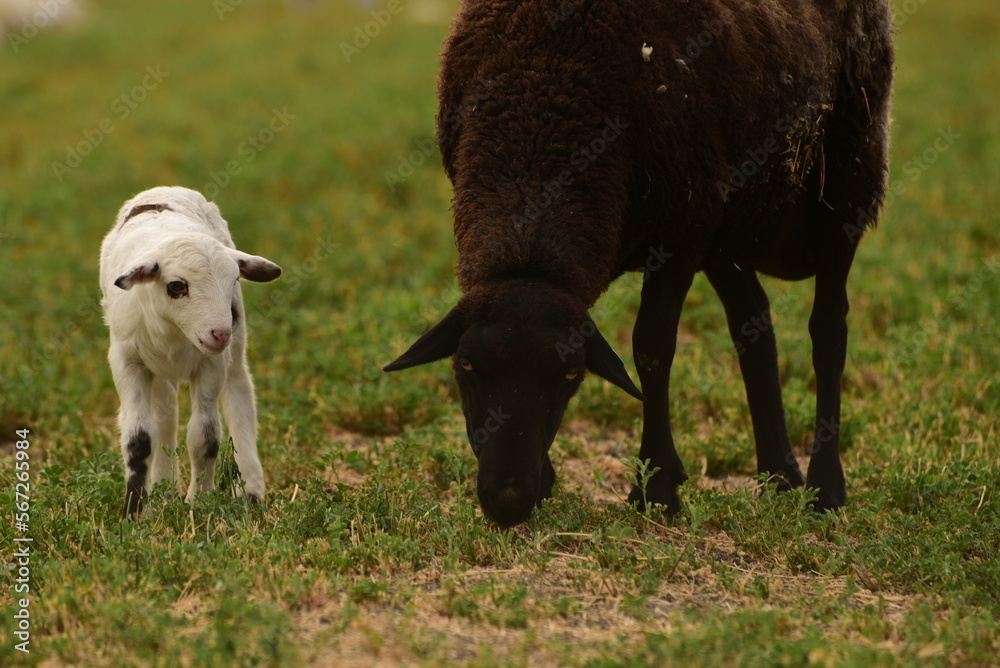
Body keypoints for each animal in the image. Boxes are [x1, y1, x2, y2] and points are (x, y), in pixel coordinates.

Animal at [100, 186, 281, 517]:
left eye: (235, 279)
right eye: (176, 286)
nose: (220, 333)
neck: (174, 332)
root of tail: (167, 188)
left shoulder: (212, 364)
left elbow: (205, 436)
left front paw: (201, 503)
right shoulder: (127, 361)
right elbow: (139, 438)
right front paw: (135, 512)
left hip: (235, 346)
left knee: (239, 392)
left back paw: (249, 491)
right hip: (159, 367)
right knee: (165, 414)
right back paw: (165, 489)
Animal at [385, 0, 894, 527]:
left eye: (570, 376)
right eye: (464, 364)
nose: (508, 502)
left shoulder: (680, 235)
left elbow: (652, 348)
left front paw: (658, 489)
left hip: (850, 173)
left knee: (828, 330)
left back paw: (825, 489)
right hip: (726, 223)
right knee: (753, 323)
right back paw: (778, 476)